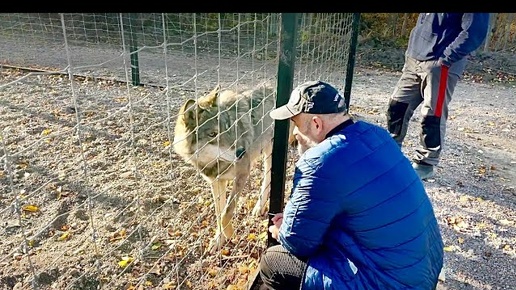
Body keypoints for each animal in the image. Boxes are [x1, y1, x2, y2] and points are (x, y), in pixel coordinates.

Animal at [173, 83, 292, 251]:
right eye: (213, 134)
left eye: (228, 128)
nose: (242, 152)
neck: (214, 163)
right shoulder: (216, 182)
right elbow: (219, 213)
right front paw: (219, 240)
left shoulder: (242, 173)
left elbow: (226, 212)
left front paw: (229, 233)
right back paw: (259, 207)